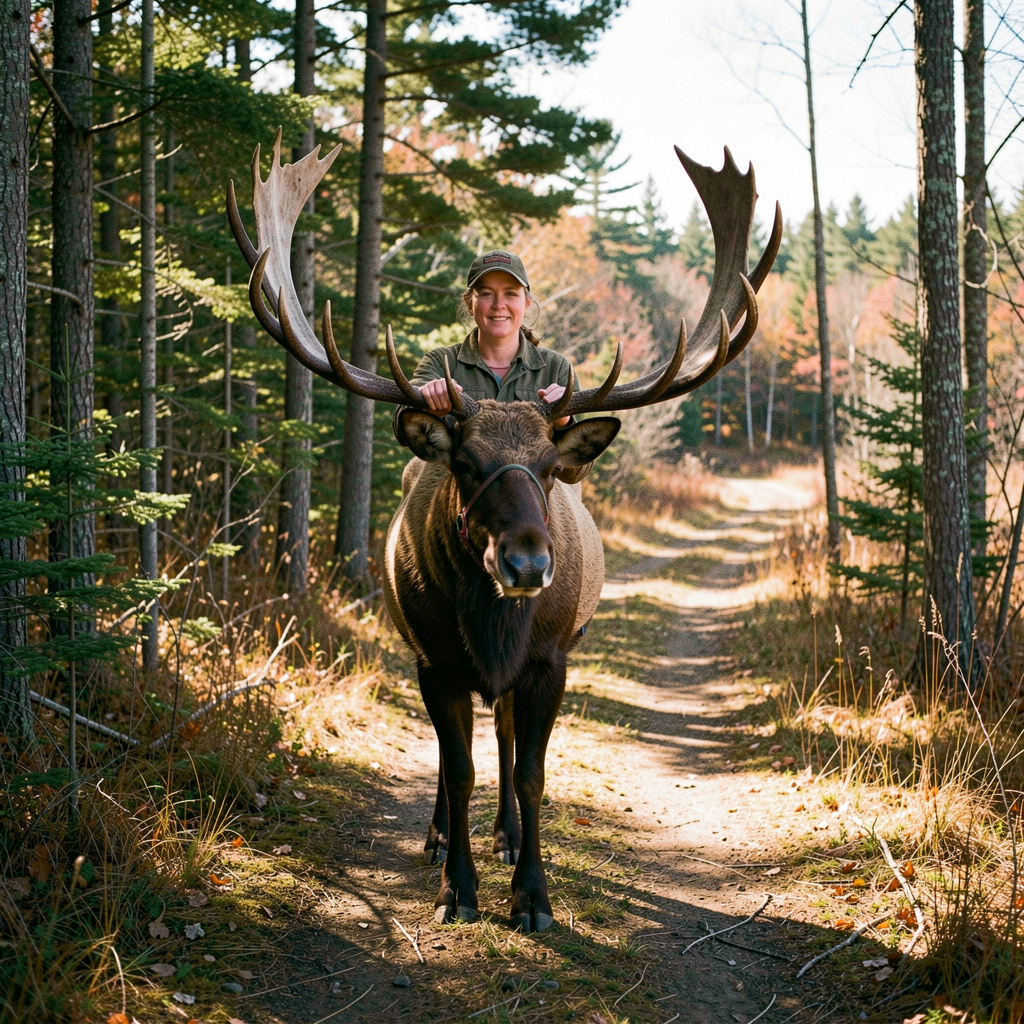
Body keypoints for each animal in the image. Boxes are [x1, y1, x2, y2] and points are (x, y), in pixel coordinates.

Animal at [227, 131, 781, 933]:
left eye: (550, 467)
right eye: (464, 463)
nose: (525, 565)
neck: (494, 628)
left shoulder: (551, 660)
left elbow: (532, 772)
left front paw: (533, 895)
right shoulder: (435, 660)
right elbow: (457, 769)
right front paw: (457, 887)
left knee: (508, 733)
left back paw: (507, 836)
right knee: (452, 754)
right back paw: (439, 837)